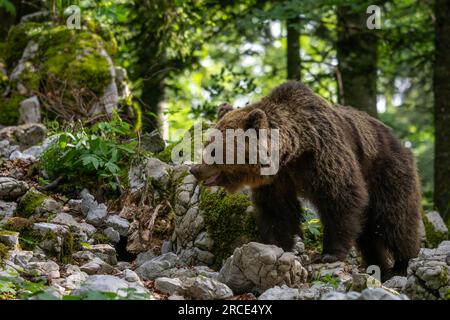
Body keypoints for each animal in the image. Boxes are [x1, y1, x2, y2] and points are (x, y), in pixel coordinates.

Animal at [190, 80, 422, 278]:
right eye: (207, 144)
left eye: (214, 150)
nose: (194, 170)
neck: (293, 151)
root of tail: (398, 140)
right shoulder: (277, 179)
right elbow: (277, 210)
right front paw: (277, 245)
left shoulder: (323, 154)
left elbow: (340, 197)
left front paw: (328, 254)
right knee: (368, 233)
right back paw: (378, 265)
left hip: (386, 170)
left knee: (394, 219)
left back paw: (402, 263)